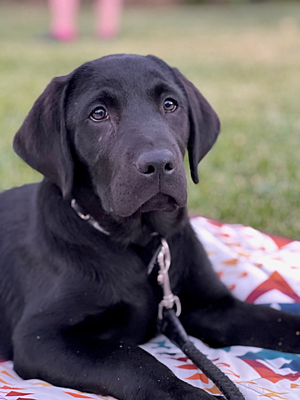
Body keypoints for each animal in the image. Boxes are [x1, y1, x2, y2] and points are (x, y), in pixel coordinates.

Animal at [0, 53, 300, 400]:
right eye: (98, 114)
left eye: (170, 104)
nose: (158, 163)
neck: (141, 241)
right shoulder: (40, 336)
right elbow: (130, 359)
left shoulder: (215, 307)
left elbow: (280, 321)